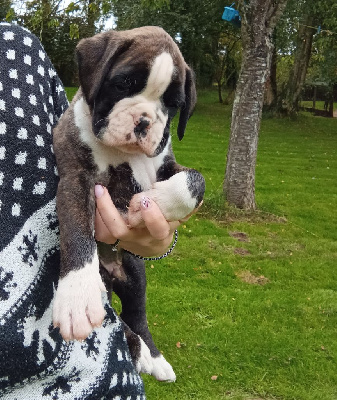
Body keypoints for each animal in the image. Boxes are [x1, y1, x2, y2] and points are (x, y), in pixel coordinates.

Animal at [52, 26, 205, 382]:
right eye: (123, 84)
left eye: (173, 104)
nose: (144, 121)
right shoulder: (76, 178)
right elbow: (77, 230)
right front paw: (76, 294)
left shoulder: (166, 165)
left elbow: (195, 181)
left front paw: (157, 200)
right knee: (118, 319)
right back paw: (139, 353)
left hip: (135, 270)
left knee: (137, 314)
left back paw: (154, 356)